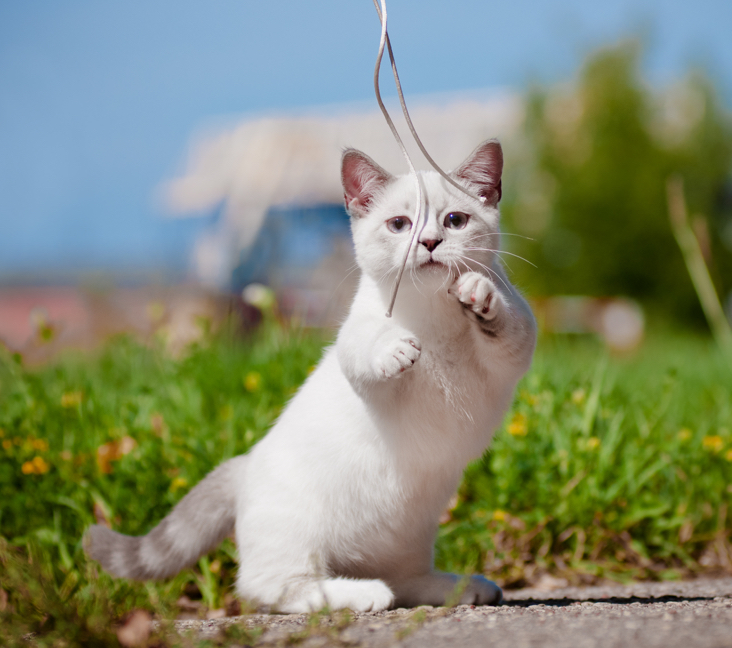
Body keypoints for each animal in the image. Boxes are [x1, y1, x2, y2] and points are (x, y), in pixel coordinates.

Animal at [86, 140, 536, 612]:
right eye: (400, 224)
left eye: (454, 221)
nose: (429, 242)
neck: (431, 315)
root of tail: (243, 465)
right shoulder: (359, 352)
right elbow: (366, 348)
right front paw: (395, 348)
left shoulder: (515, 348)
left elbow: (507, 322)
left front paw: (478, 294)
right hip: (298, 542)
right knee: (279, 588)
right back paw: (364, 593)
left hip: (409, 537)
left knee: (405, 580)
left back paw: (459, 588)